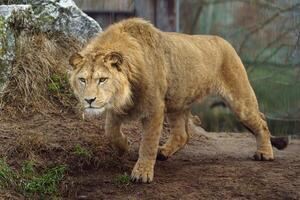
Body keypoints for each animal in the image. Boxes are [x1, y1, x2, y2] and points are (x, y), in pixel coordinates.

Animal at [69, 18, 290, 183]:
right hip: (177, 103)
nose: (89, 100)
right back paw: (164, 153)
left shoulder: (154, 108)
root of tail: (224, 41)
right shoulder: (117, 108)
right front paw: (123, 147)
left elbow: (147, 143)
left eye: (103, 79)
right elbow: (110, 132)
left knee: (261, 121)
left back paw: (265, 153)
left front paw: (142, 173)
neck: (126, 92)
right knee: (182, 135)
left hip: (239, 99)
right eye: (82, 80)